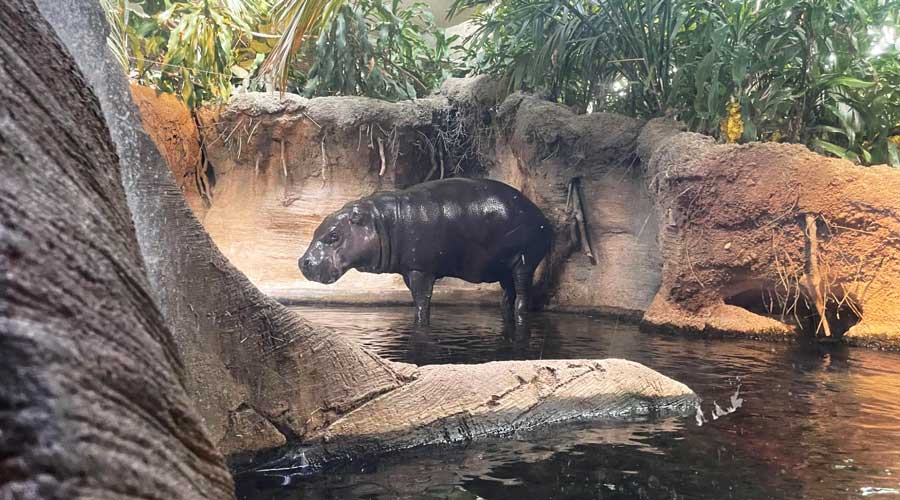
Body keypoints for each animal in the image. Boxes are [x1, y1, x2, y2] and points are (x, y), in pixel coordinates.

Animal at [299, 178, 552, 325]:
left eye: (333, 235)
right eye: (316, 229)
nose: (302, 262)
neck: (382, 220)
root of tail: (542, 218)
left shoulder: (420, 270)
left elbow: (422, 302)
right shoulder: (408, 270)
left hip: (524, 263)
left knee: (522, 296)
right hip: (504, 267)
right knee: (508, 295)